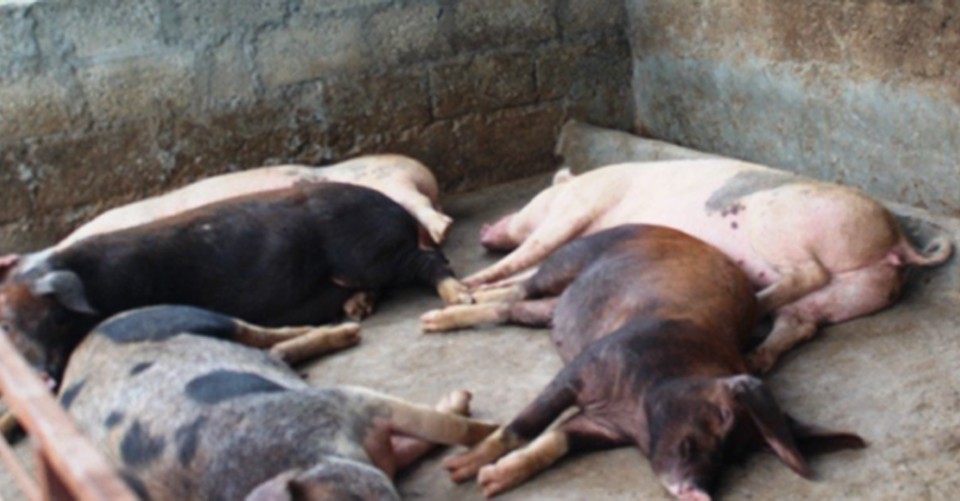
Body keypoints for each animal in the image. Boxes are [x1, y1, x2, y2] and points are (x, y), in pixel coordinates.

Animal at [0, 182, 469, 384]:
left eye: (54, 317)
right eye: (5, 327)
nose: (41, 376)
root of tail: (396, 208)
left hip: (370, 253)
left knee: (433, 261)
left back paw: (459, 298)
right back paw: (356, 310)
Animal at [58, 305, 497, 500]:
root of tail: (83, 342)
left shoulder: (341, 401)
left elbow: (447, 427)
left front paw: (482, 421)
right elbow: (417, 439)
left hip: (180, 314)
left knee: (263, 332)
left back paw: (348, 330)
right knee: (274, 350)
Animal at [422, 225, 866, 500]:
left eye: (739, 453)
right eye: (723, 416)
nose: (699, 492)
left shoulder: (601, 427)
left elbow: (555, 441)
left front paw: (491, 482)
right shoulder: (581, 370)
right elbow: (522, 426)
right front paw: (459, 471)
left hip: (552, 308)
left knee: (513, 307)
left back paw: (437, 319)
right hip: (568, 260)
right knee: (518, 288)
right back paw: (443, 309)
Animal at [470, 160, 953, 372]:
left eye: (528, 198)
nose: (484, 231)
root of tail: (897, 238)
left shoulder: (577, 207)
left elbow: (532, 249)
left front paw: (470, 285)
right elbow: (528, 268)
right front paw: (477, 289)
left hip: (779, 225)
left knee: (806, 274)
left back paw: (756, 304)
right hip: (856, 292)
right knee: (800, 323)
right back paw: (755, 353)